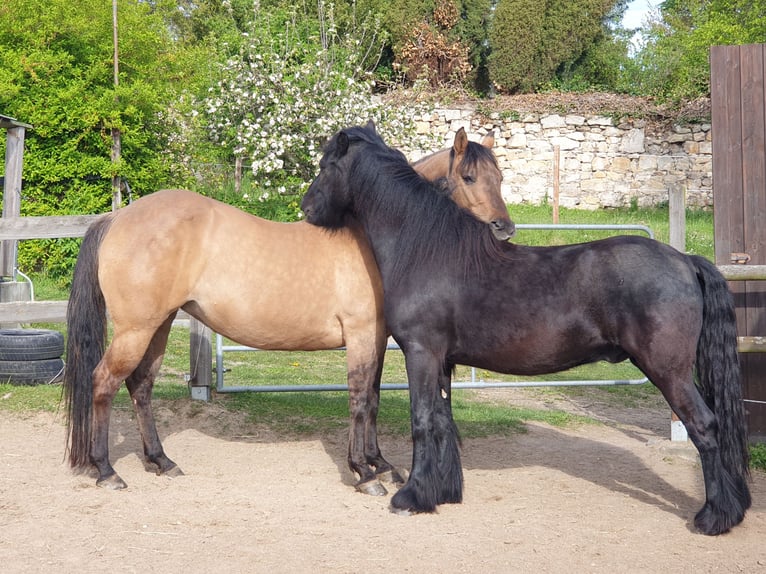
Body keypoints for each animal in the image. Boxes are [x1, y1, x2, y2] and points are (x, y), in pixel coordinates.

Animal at [304, 124, 752, 536]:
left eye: (326, 166)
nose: (307, 208)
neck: (427, 249)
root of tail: (685, 260)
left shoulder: (421, 353)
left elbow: (422, 421)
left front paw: (411, 497)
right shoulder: (442, 361)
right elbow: (443, 421)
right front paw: (443, 492)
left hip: (669, 372)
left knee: (705, 427)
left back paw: (714, 517)